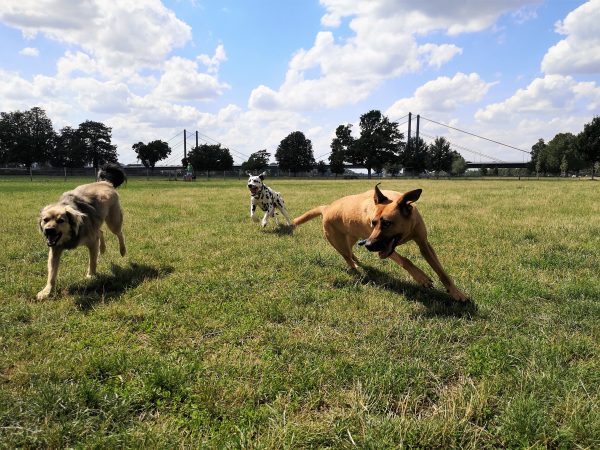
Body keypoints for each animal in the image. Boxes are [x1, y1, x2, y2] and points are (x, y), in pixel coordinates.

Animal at [36, 163, 127, 300]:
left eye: (61, 220)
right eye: (45, 220)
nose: (48, 230)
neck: (70, 235)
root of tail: (105, 183)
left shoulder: (92, 242)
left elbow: (92, 261)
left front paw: (91, 276)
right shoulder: (55, 249)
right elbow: (52, 272)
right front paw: (47, 291)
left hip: (113, 220)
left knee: (119, 233)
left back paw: (122, 250)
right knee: (100, 232)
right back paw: (102, 249)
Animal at [293, 184, 469, 301]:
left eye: (387, 223)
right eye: (373, 222)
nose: (368, 245)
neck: (407, 230)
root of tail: (327, 208)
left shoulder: (424, 244)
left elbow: (442, 272)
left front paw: (457, 293)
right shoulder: (382, 247)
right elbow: (405, 260)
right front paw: (422, 278)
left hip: (352, 237)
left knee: (350, 252)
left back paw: (357, 260)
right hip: (338, 241)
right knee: (346, 256)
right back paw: (356, 267)